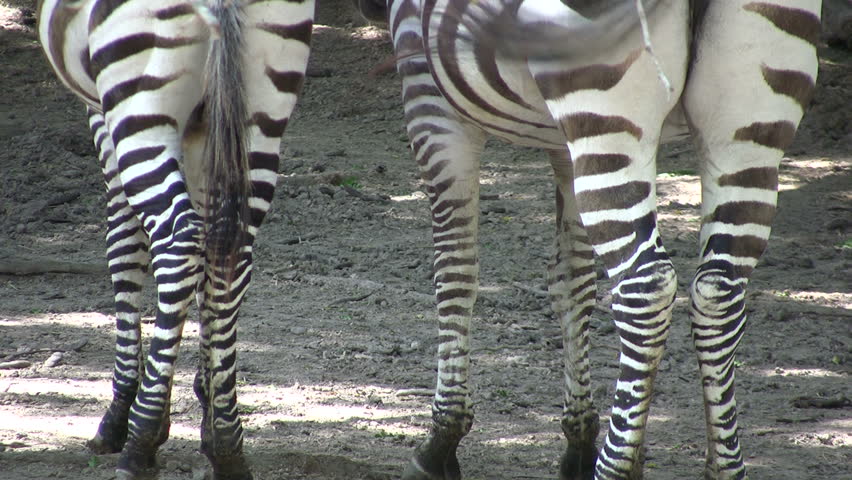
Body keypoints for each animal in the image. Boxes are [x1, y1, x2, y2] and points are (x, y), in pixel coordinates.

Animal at [37, 1, 313, 478]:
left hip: (139, 105)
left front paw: (123, 413)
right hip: (261, 114)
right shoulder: (205, 130)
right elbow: (209, 261)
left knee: (177, 243)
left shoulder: (103, 117)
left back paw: (140, 442)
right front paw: (203, 404)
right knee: (231, 258)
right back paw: (227, 444)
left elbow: (124, 244)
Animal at [355, 0, 821, 479]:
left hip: (603, 97)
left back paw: (612, 466)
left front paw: (441, 441)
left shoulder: (428, 97)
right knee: (717, 292)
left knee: (648, 289)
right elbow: (572, 281)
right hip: (744, 129)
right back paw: (719, 465)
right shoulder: (566, 143)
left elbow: (456, 272)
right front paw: (581, 440)